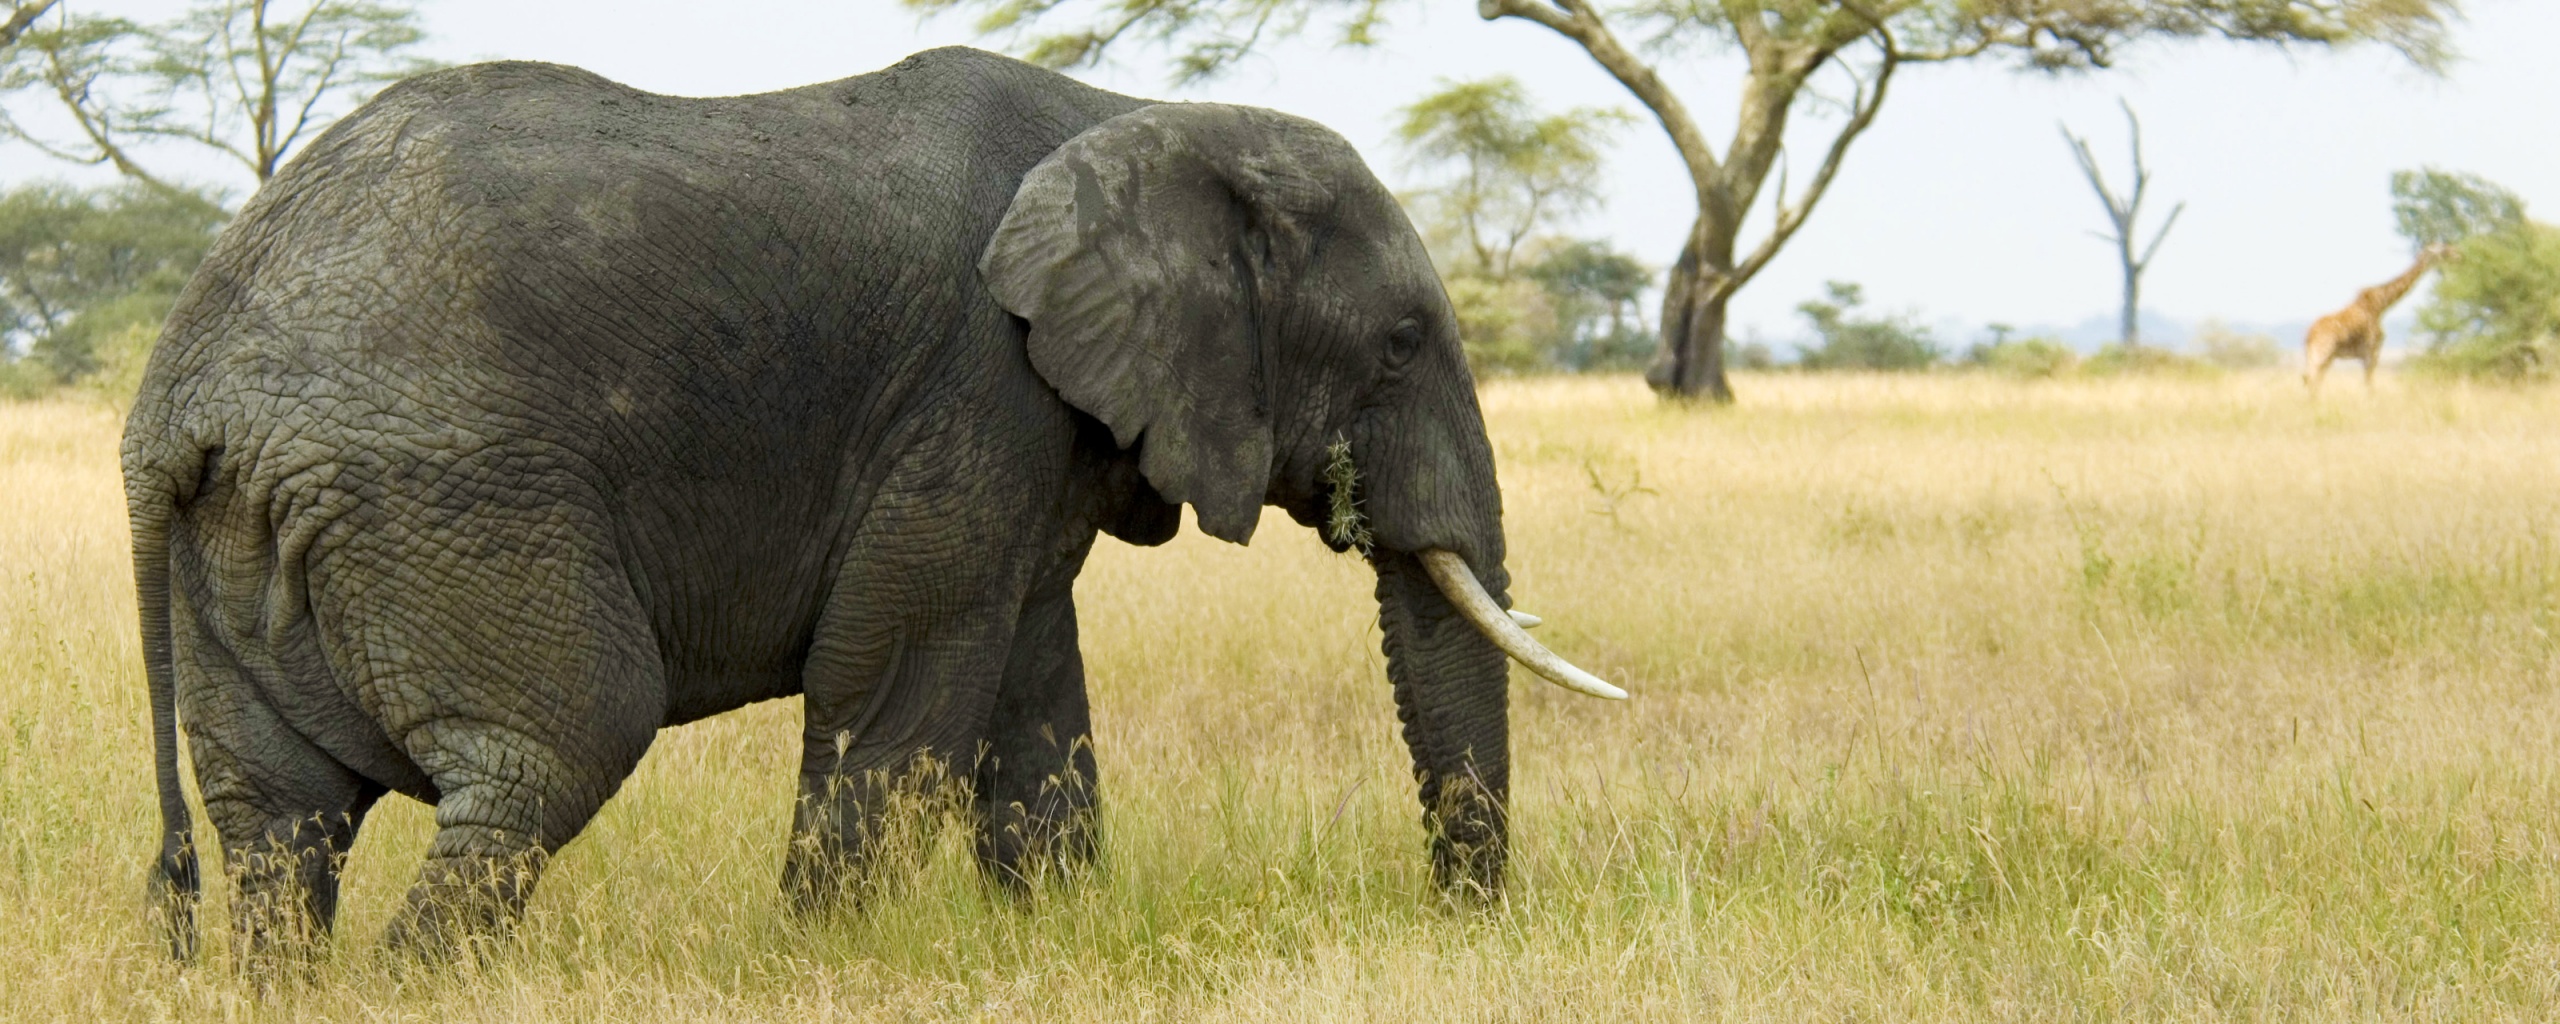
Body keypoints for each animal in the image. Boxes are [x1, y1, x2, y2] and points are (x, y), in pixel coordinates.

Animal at [122, 46, 1621, 958]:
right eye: (1400, 345)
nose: (1459, 922)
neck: (1132, 118)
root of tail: (178, 394)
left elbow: (1029, 684)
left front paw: (1048, 943)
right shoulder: (974, 386)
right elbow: (898, 678)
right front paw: (822, 959)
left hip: (254, 533)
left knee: (281, 821)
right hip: (445, 495)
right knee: (549, 752)